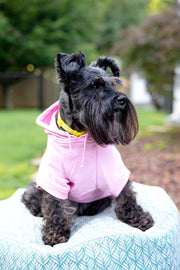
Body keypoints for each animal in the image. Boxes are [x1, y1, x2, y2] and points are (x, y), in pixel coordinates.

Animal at [21, 51, 154, 247]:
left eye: (114, 84)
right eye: (95, 85)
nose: (122, 100)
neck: (80, 133)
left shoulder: (115, 172)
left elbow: (126, 194)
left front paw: (138, 217)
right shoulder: (54, 178)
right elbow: (55, 205)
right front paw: (55, 234)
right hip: (37, 186)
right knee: (29, 197)